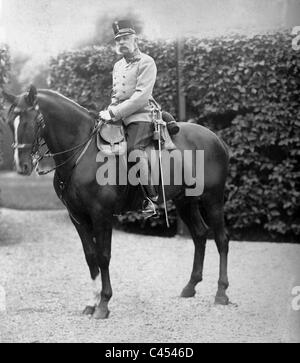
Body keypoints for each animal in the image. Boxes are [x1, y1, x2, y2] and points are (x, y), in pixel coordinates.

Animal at [3, 86, 230, 320]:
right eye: (9, 121)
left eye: (34, 120)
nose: (22, 166)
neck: (82, 153)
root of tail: (215, 139)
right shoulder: (77, 216)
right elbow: (90, 256)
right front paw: (92, 302)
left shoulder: (101, 215)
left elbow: (103, 256)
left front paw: (104, 304)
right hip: (185, 201)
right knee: (200, 235)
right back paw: (190, 286)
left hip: (213, 199)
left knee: (221, 239)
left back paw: (221, 292)